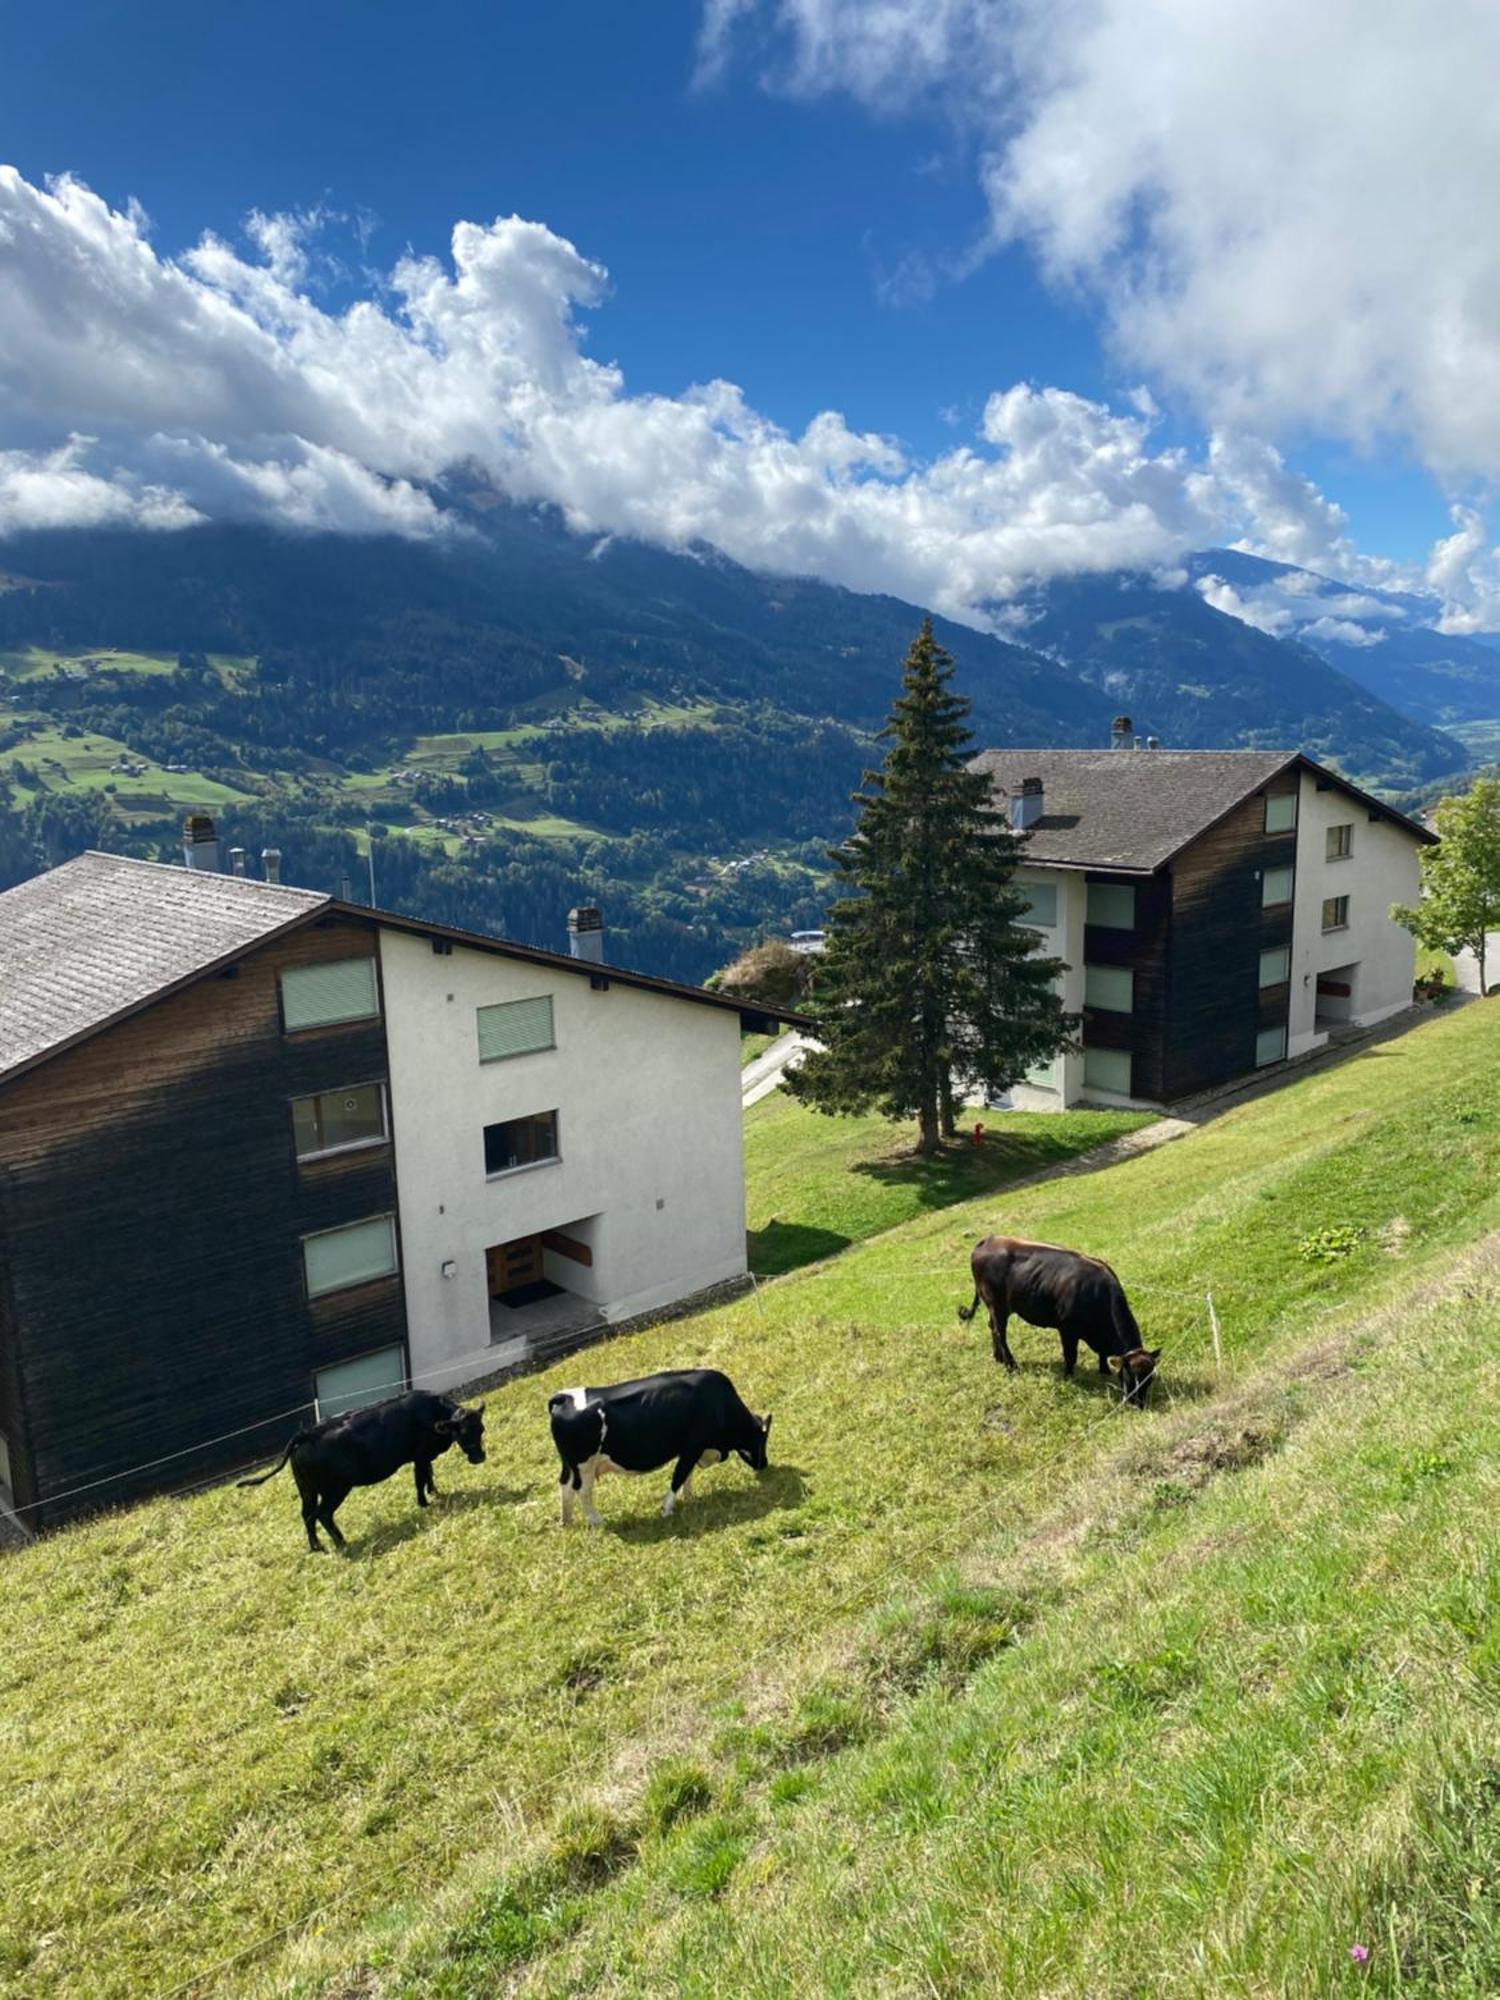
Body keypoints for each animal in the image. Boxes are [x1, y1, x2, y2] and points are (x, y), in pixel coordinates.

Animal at [238, 1392, 490, 1544]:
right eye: (462, 1432)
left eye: (481, 1429)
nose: (479, 1458)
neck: (432, 1415)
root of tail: (306, 1433)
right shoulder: (419, 1455)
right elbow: (420, 1477)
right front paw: (424, 1503)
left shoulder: (424, 1456)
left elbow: (429, 1473)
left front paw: (435, 1492)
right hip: (335, 1489)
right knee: (322, 1514)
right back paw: (341, 1542)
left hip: (307, 1490)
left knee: (307, 1515)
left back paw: (317, 1547)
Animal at [552, 1368, 776, 1520]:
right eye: (761, 1439)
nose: (764, 1464)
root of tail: (562, 1397)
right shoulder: (693, 1447)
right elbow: (679, 1476)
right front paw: (667, 1509)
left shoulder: (691, 1450)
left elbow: (687, 1475)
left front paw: (690, 1498)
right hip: (585, 1464)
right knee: (582, 1490)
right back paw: (597, 1522)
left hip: (569, 1464)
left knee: (565, 1485)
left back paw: (566, 1521)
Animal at [964, 1232, 1160, 1408]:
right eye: (1130, 1377)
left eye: (1150, 1379)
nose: (1138, 1405)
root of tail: (989, 1239)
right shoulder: (1067, 1330)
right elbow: (1070, 1355)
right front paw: (1069, 1376)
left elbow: (1102, 1354)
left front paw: (1104, 1370)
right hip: (997, 1305)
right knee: (1000, 1332)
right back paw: (1011, 1365)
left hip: (995, 1307)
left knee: (992, 1328)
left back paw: (998, 1357)